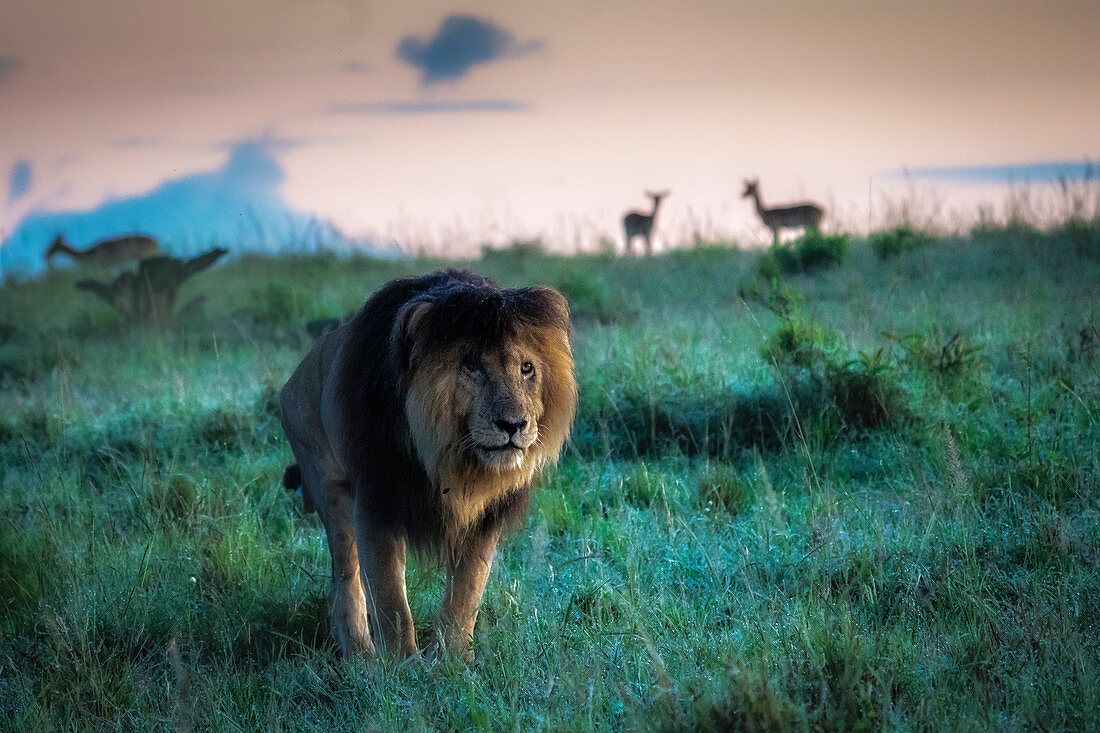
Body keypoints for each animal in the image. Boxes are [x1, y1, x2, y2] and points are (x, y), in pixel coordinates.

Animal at [277, 267, 576, 655]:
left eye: (527, 368)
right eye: (472, 366)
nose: (513, 425)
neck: (448, 458)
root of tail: (292, 380)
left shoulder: (484, 517)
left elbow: (466, 592)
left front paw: (453, 659)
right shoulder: (376, 498)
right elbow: (390, 598)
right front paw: (403, 664)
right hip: (328, 486)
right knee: (346, 577)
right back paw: (360, 654)